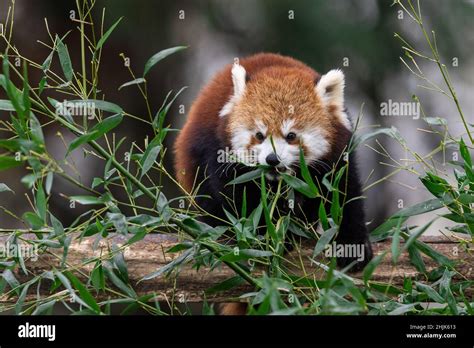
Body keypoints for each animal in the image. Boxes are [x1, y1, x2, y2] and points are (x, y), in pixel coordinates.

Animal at [174, 53, 374, 314]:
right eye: (259, 135)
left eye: (291, 136)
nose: (272, 159)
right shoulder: (218, 150)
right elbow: (234, 197)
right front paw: (261, 236)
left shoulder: (338, 155)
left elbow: (345, 194)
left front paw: (353, 245)